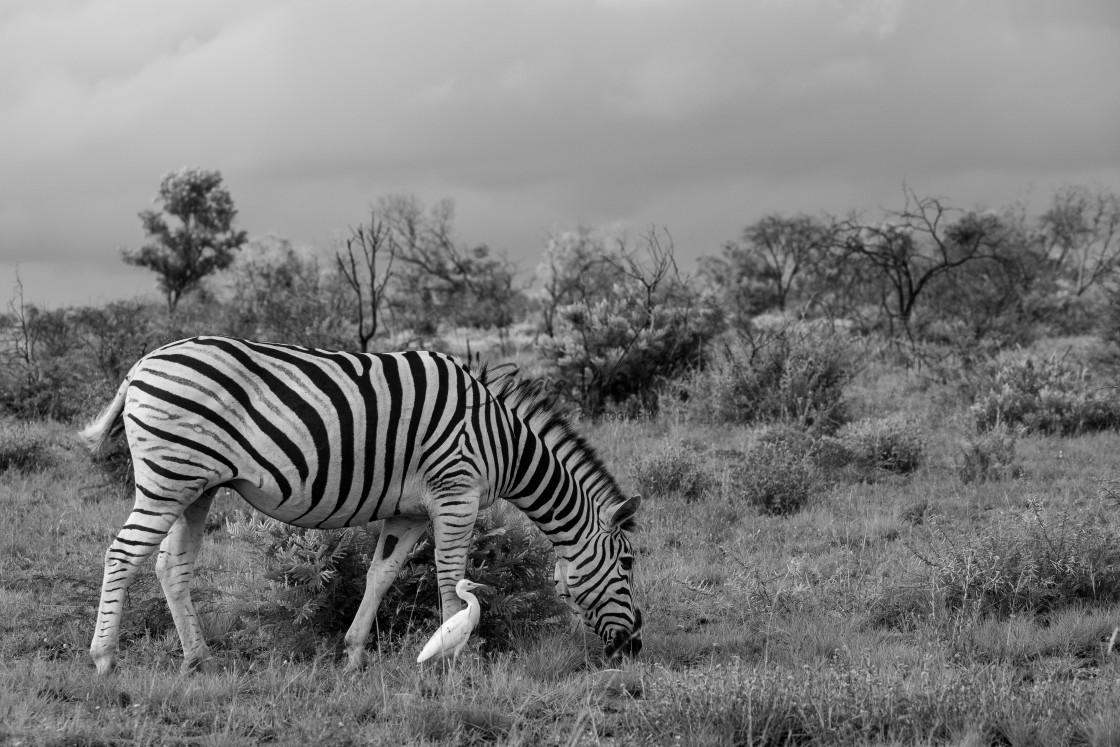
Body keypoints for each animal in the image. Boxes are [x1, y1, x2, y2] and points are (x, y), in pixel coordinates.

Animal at [78, 335, 645, 676]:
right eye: (628, 564)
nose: (635, 648)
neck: (501, 442)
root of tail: (140, 365)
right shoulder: (455, 493)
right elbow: (450, 579)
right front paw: (454, 656)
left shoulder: (409, 511)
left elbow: (381, 573)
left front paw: (352, 656)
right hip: (169, 477)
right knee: (123, 554)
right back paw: (104, 659)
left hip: (197, 486)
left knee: (170, 565)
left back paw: (200, 659)